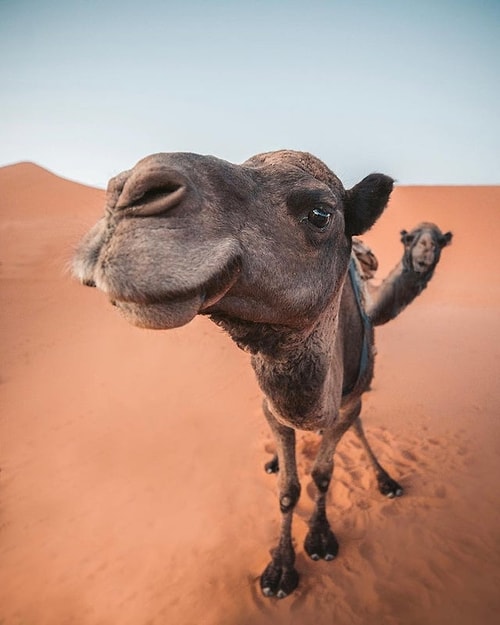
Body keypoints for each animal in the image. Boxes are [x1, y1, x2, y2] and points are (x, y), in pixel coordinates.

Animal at [73, 149, 454, 596]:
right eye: (411, 240)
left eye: (320, 213)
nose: (126, 192)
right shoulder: (274, 408)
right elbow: (288, 489)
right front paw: (279, 569)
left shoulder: (347, 402)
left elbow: (323, 474)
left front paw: (320, 538)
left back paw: (385, 479)